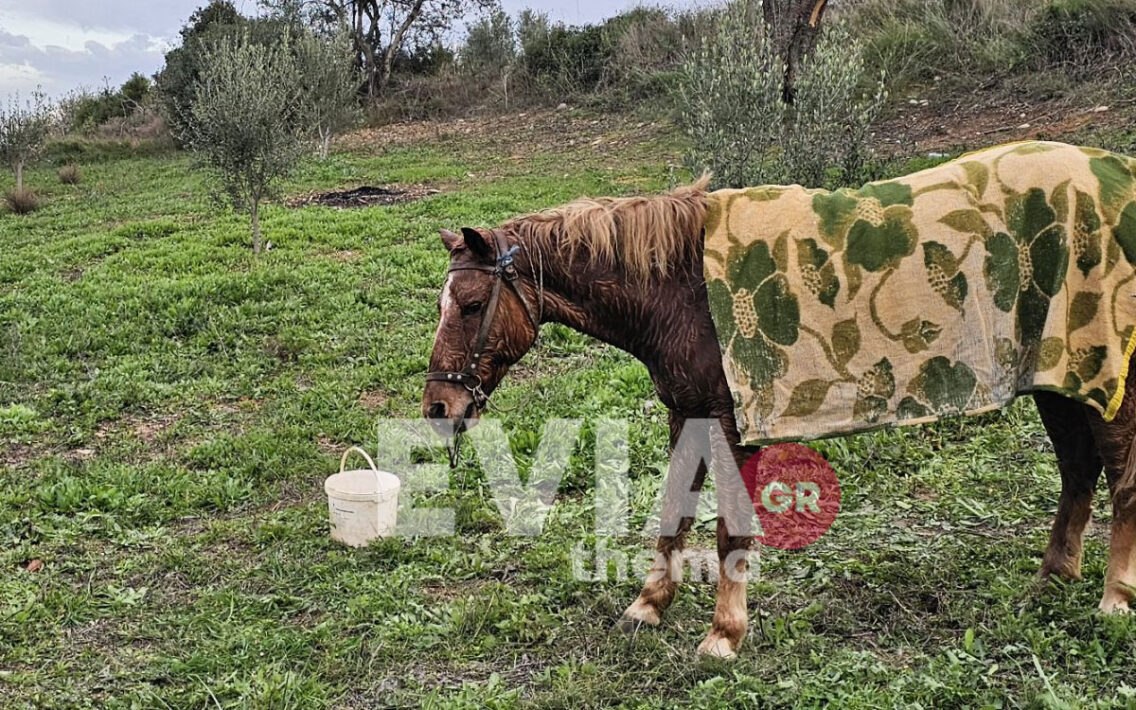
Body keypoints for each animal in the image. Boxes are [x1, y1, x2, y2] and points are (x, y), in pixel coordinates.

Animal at [424, 139, 1136, 658]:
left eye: (471, 304)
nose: (438, 409)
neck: (680, 289)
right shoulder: (688, 414)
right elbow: (673, 512)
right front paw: (647, 607)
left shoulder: (730, 422)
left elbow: (728, 529)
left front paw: (722, 636)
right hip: (1058, 380)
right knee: (1078, 471)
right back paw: (1052, 578)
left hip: (1107, 384)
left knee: (1121, 479)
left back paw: (1114, 597)